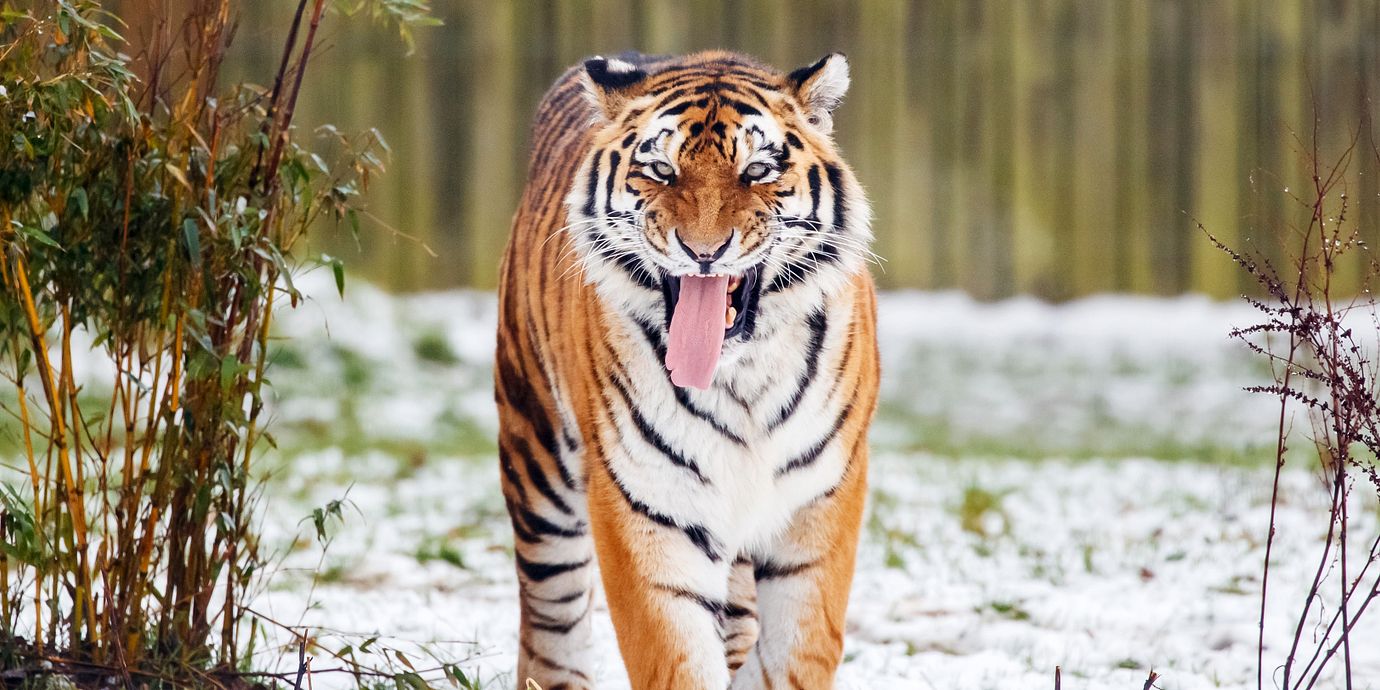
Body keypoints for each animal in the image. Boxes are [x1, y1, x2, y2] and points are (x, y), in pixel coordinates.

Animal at [494, 50, 879, 690]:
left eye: (757, 171)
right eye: (660, 170)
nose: (704, 251)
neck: (742, 378)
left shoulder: (820, 502)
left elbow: (795, 654)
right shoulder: (646, 506)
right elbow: (677, 655)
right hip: (537, 457)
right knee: (551, 623)